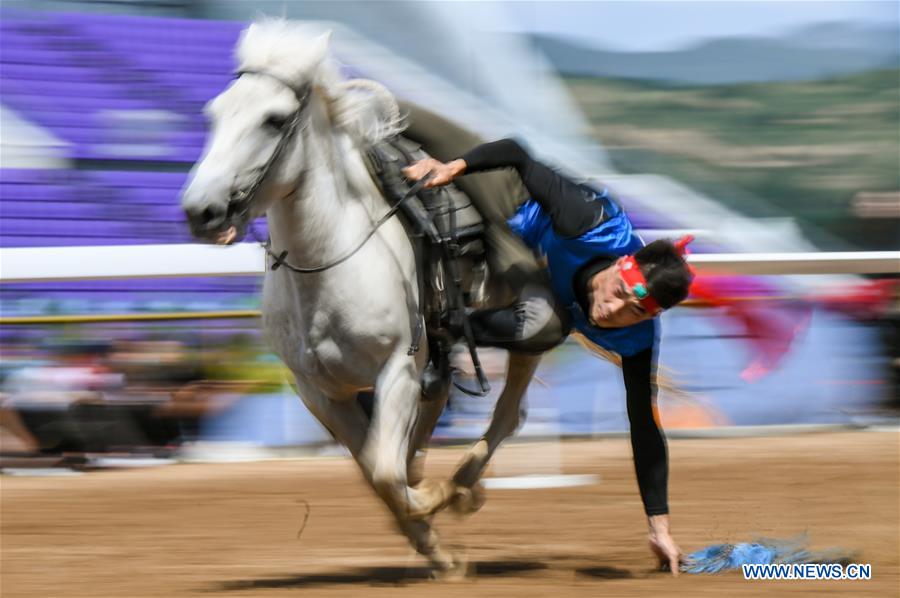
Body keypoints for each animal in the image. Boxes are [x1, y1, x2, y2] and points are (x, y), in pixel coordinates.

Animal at [179, 21, 536, 580]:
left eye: (273, 119)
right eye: (214, 112)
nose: (202, 211)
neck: (329, 264)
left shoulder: (397, 369)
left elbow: (387, 473)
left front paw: (434, 506)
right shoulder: (319, 391)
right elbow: (374, 468)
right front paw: (432, 544)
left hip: (531, 318)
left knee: (506, 411)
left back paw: (461, 487)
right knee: (436, 408)